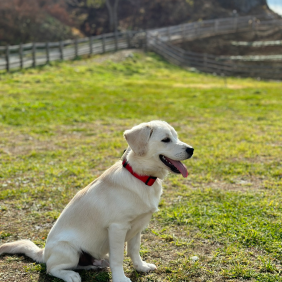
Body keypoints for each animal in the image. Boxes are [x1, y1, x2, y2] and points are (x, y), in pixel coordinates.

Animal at [0, 120, 194, 282]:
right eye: (166, 140)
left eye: (176, 137)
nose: (191, 149)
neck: (140, 177)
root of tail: (44, 252)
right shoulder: (117, 228)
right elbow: (118, 258)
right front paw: (121, 279)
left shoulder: (138, 226)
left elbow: (134, 250)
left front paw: (141, 267)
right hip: (69, 250)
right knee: (51, 268)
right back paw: (70, 275)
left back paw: (95, 265)